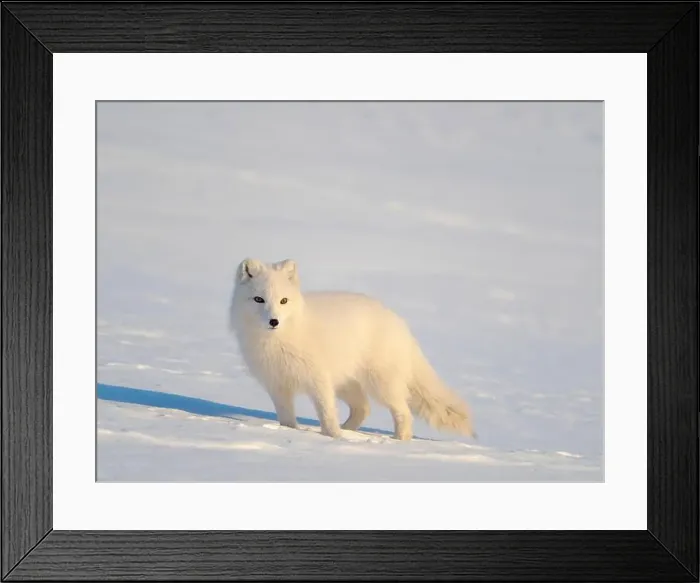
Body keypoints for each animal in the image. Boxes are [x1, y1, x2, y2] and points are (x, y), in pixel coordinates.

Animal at [228, 258, 475, 441]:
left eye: (283, 301)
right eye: (258, 299)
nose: (274, 321)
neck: (278, 341)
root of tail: (398, 321)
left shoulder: (318, 380)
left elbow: (327, 413)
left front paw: (332, 437)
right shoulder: (277, 384)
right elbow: (286, 418)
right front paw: (291, 433)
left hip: (380, 384)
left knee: (403, 413)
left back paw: (397, 441)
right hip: (348, 384)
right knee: (363, 408)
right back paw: (349, 432)